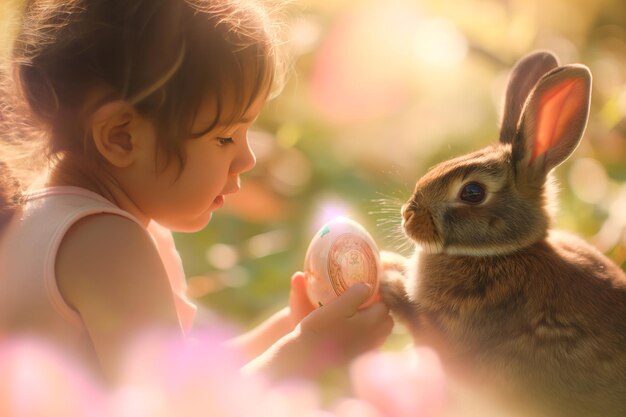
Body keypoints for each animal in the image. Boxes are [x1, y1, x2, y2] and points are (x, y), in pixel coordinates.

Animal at [380, 51, 624, 416]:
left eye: (473, 192)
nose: (407, 216)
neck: (503, 252)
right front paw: (389, 265)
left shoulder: (457, 342)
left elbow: (423, 329)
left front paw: (390, 283)